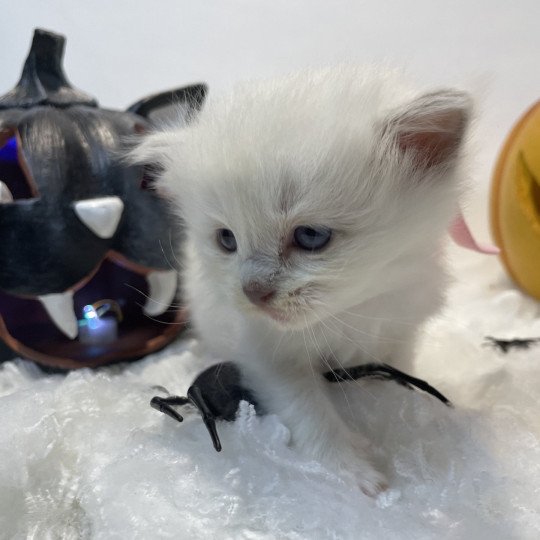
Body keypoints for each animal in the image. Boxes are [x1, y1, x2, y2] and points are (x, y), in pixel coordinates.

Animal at [132, 67, 472, 498]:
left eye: (310, 236)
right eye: (227, 240)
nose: (253, 293)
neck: (347, 311)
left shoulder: (400, 326)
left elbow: (394, 371)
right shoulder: (267, 355)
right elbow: (308, 410)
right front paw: (352, 469)